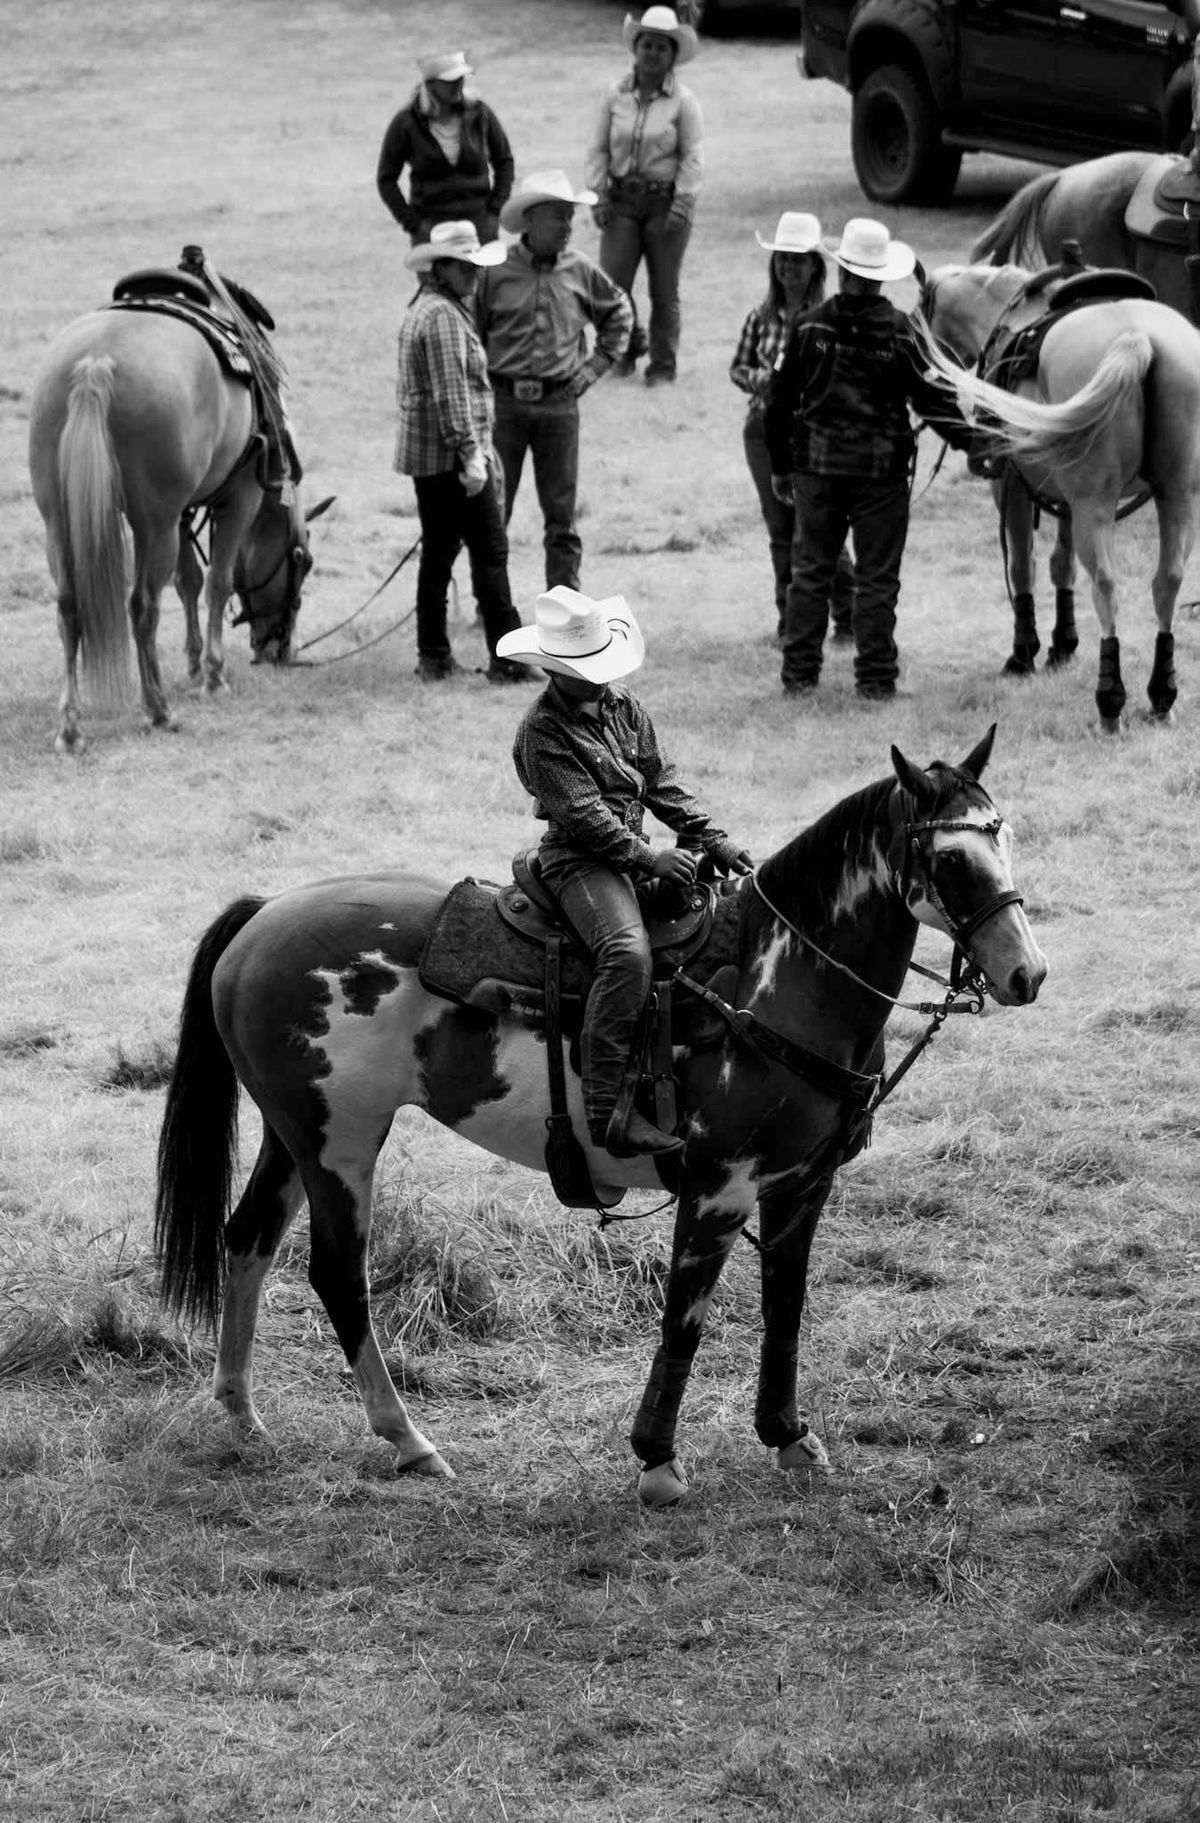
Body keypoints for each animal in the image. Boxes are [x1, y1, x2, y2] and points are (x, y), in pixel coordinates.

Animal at [29, 255, 326, 747]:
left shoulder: (183, 512)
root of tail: (96, 361)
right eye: (302, 563)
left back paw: (70, 727)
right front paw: (212, 675)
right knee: (142, 605)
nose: (279, 650)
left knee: (69, 608)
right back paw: (157, 709)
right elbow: (217, 582)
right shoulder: (238, 498)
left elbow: (188, 580)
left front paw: (191, 663)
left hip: (61, 521)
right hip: (153, 523)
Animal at [154, 725, 1043, 1509]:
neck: (775, 980)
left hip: (294, 1135)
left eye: (1004, 836)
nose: (1025, 972)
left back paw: (240, 1410)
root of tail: (263, 914)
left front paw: (788, 1436)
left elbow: (784, 1309)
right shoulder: (719, 1186)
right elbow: (684, 1319)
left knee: (247, 1240)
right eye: (949, 857)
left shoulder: (801, 1185)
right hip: (341, 1143)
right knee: (338, 1275)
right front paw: (657, 1461)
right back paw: (408, 1439)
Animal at [915, 264, 1196, 732]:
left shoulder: (1011, 489)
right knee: (1167, 582)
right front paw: (1062, 645)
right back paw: (1162, 694)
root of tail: (1138, 338)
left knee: (1106, 585)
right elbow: (1062, 566)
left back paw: (1109, 699)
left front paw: (1023, 653)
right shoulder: (1066, 503)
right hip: (1177, 497)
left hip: (1096, 505)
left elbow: (1023, 566)